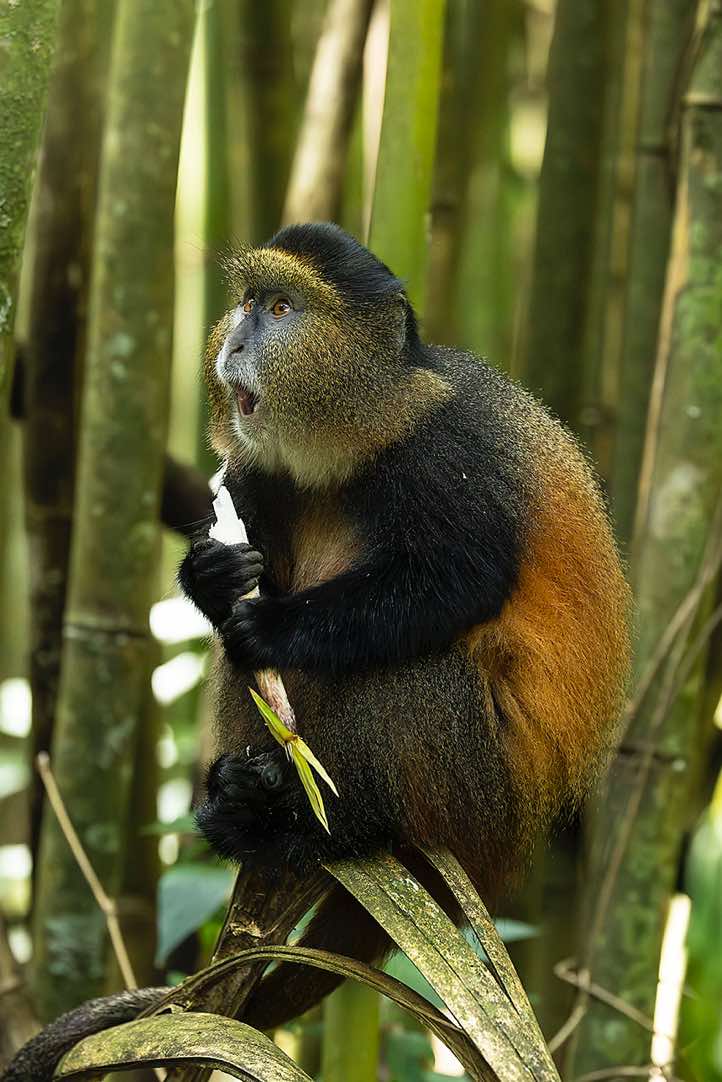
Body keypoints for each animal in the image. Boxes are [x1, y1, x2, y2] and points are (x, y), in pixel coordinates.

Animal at [3, 222, 630, 1080]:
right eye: (246, 302)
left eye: (280, 308)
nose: (235, 341)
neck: (366, 423)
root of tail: (515, 835)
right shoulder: (254, 473)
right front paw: (211, 576)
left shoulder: (450, 457)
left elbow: (455, 582)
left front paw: (273, 629)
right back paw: (243, 803)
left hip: (478, 787)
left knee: (417, 669)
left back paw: (336, 826)